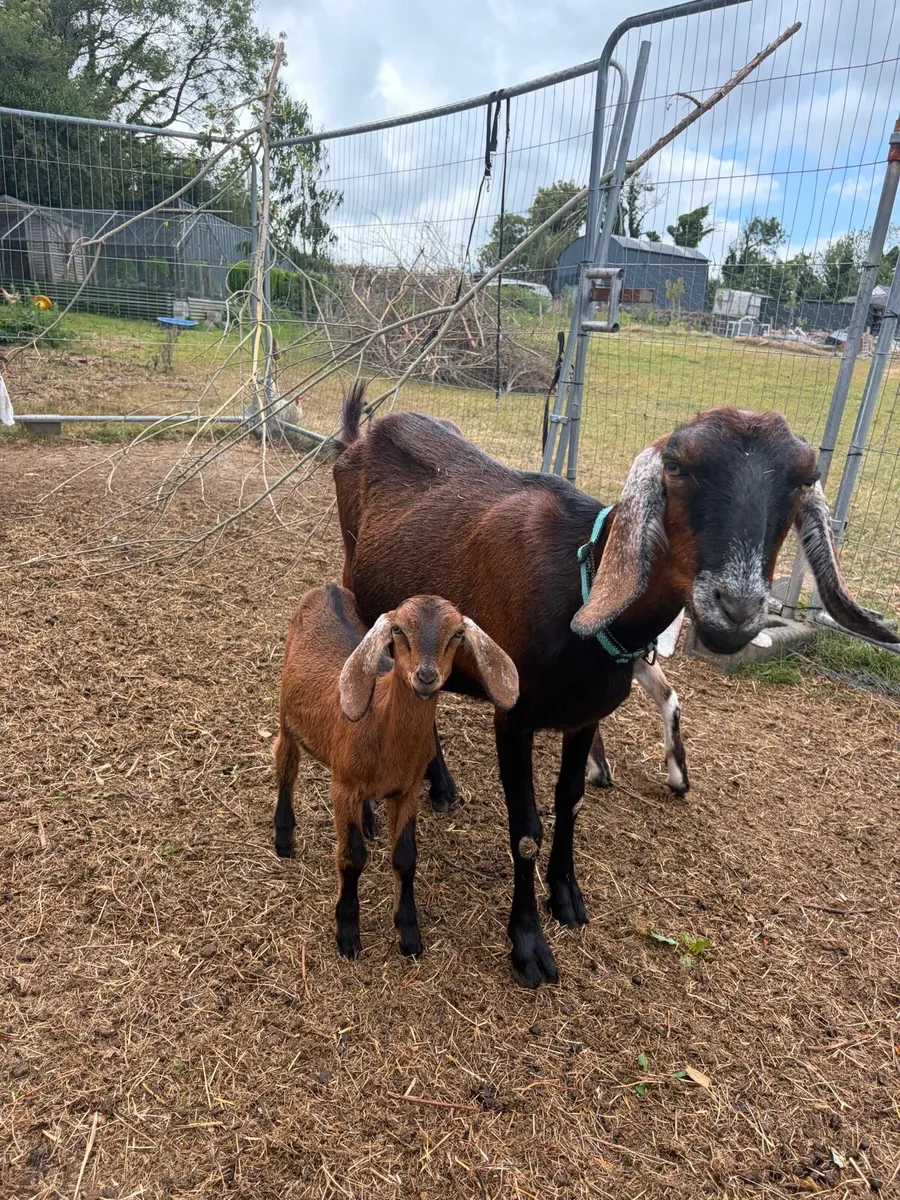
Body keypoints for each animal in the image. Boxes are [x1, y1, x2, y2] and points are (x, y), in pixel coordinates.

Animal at [274, 584, 518, 959]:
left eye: (456, 634)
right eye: (399, 631)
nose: (426, 677)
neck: (378, 717)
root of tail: (328, 588)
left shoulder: (408, 790)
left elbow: (405, 858)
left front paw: (409, 934)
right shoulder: (342, 786)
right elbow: (351, 857)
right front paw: (348, 934)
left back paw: (368, 820)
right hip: (286, 716)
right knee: (286, 767)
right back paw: (284, 837)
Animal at [333, 387, 898, 987]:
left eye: (802, 476)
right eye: (678, 465)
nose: (737, 610)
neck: (577, 587)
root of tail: (359, 437)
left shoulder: (586, 716)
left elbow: (572, 800)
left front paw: (566, 897)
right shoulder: (513, 718)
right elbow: (526, 829)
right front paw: (529, 945)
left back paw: (440, 785)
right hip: (360, 597)